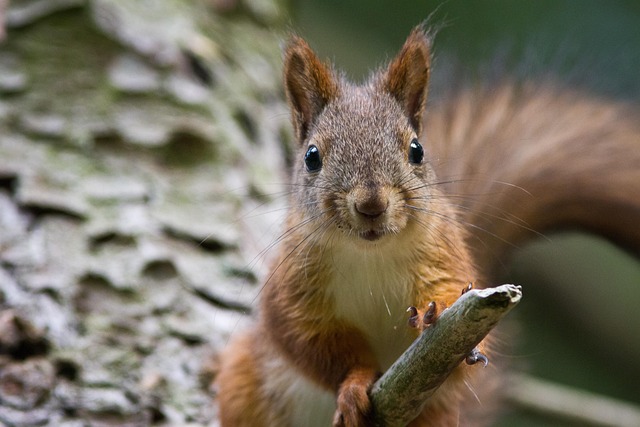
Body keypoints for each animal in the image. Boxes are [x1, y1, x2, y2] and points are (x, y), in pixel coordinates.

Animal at [215, 25, 640, 426]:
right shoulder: (295, 291)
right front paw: (353, 386)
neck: (371, 253)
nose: (371, 205)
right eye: (312, 157)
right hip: (242, 382)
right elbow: (312, 344)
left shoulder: (444, 256)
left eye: (416, 150)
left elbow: (452, 301)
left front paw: (432, 318)